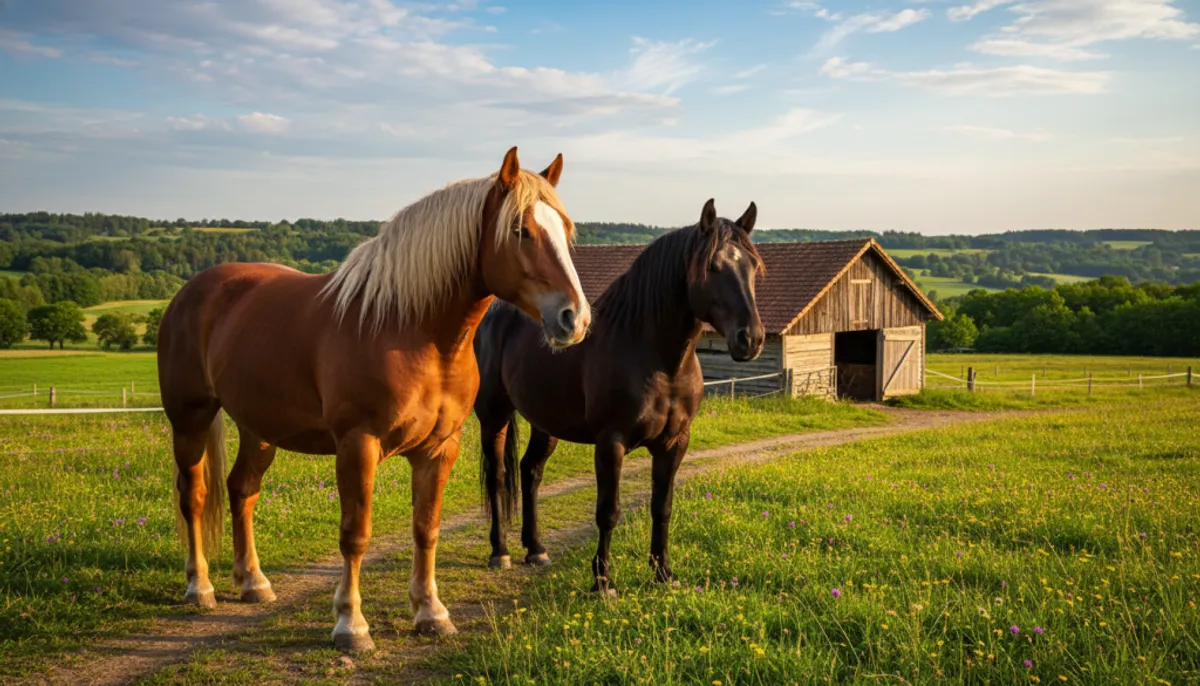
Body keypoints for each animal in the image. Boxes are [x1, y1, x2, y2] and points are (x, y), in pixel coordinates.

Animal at [156, 147, 591, 652]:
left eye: (565, 229)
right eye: (520, 229)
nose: (575, 318)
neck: (410, 329)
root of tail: (191, 291)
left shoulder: (439, 449)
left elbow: (427, 528)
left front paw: (431, 612)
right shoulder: (357, 445)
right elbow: (355, 534)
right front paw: (351, 624)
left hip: (257, 429)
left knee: (242, 491)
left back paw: (253, 583)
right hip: (190, 419)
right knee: (194, 496)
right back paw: (200, 586)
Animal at [473, 198, 764, 594]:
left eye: (752, 266)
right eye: (713, 266)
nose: (751, 339)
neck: (657, 359)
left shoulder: (675, 442)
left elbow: (662, 507)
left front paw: (663, 575)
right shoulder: (611, 442)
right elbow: (608, 512)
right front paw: (603, 583)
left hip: (544, 423)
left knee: (530, 472)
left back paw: (536, 550)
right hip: (494, 415)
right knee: (498, 477)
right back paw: (500, 552)